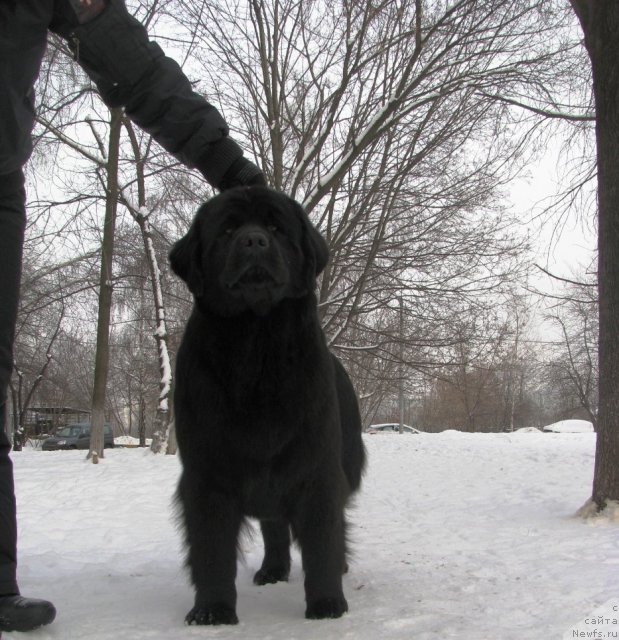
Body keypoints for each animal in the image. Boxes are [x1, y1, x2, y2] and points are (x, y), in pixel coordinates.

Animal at [167, 188, 366, 628]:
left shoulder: (316, 467)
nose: (254, 240)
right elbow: (211, 549)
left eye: (276, 228)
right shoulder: (207, 473)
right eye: (227, 230)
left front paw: (327, 604)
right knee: (274, 525)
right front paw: (212, 611)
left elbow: (323, 538)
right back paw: (273, 569)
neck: (256, 346)